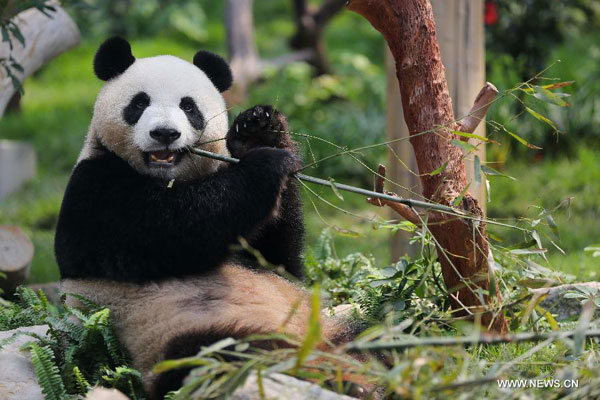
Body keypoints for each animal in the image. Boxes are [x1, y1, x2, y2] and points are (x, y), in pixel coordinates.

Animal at [54, 36, 354, 396]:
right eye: (139, 104)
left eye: (189, 107)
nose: (165, 133)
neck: (168, 178)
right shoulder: (95, 190)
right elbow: (174, 230)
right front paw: (265, 164)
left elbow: (279, 259)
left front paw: (259, 129)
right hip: (180, 334)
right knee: (236, 354)